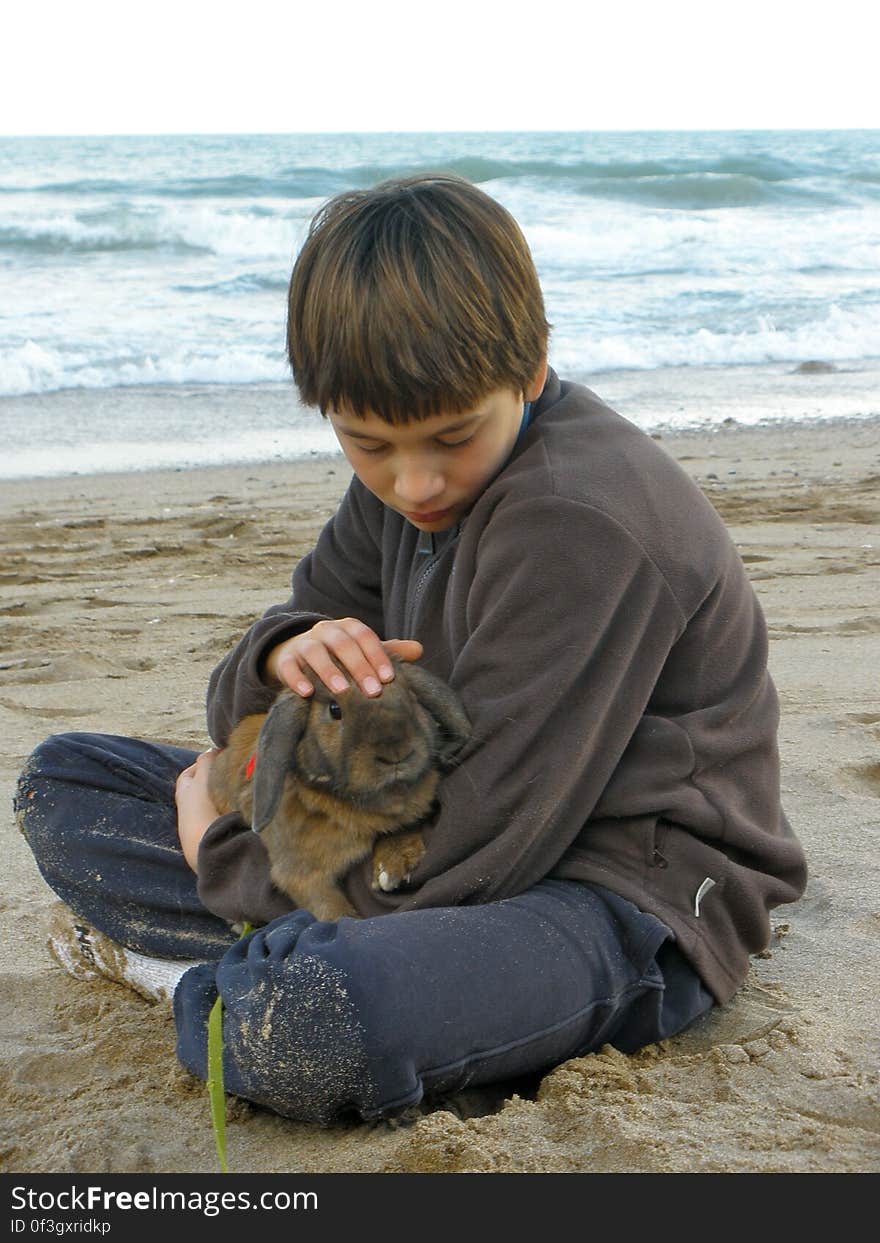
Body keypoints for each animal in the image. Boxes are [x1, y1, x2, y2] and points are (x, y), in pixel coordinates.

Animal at [208, 661, 469, 924]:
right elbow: (331, 911)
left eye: (410, 696)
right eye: (335, 710)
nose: (396, 753)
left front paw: (391, 867)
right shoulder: (301, 875)